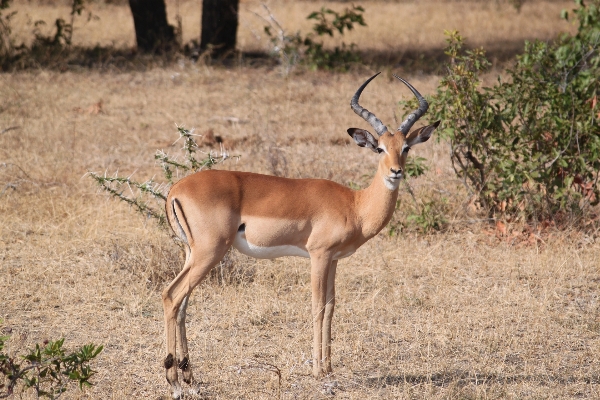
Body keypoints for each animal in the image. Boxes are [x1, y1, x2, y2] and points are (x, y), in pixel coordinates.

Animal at [162, 72, 438, 396]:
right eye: (380, 148)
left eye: (406, 147)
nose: (396, 172)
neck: (355, 205)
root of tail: (176, 189)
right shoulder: (318, 255)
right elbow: (317, 307)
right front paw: (319, 372)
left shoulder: (334, 260)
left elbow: (331, 307)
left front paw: (329, 369)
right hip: (210, 252)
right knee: (171, 295)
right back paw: (173, 381)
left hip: (192, 253)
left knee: (182, 304)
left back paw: (189, 377)